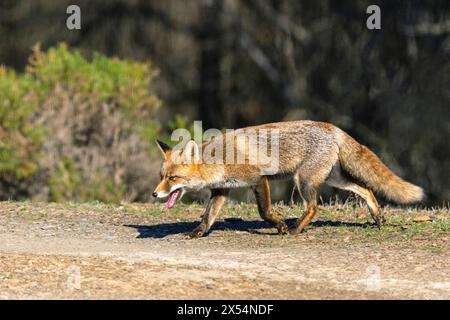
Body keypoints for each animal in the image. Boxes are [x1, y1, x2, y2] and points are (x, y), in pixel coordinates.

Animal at [153, 120, 424, 238]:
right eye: (161, 176)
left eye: (172, 178)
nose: (155, 194)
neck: (220, 161)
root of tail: (332, 127)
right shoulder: (222, 190)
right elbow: (208, 216)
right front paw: (197, 233)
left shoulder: (258, 178)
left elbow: (264, 211)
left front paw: (281, 226)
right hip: (332, 179)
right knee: (366, 189)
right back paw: (378, 218)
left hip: (303, 179)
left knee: (313, 207)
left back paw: (295, 229)